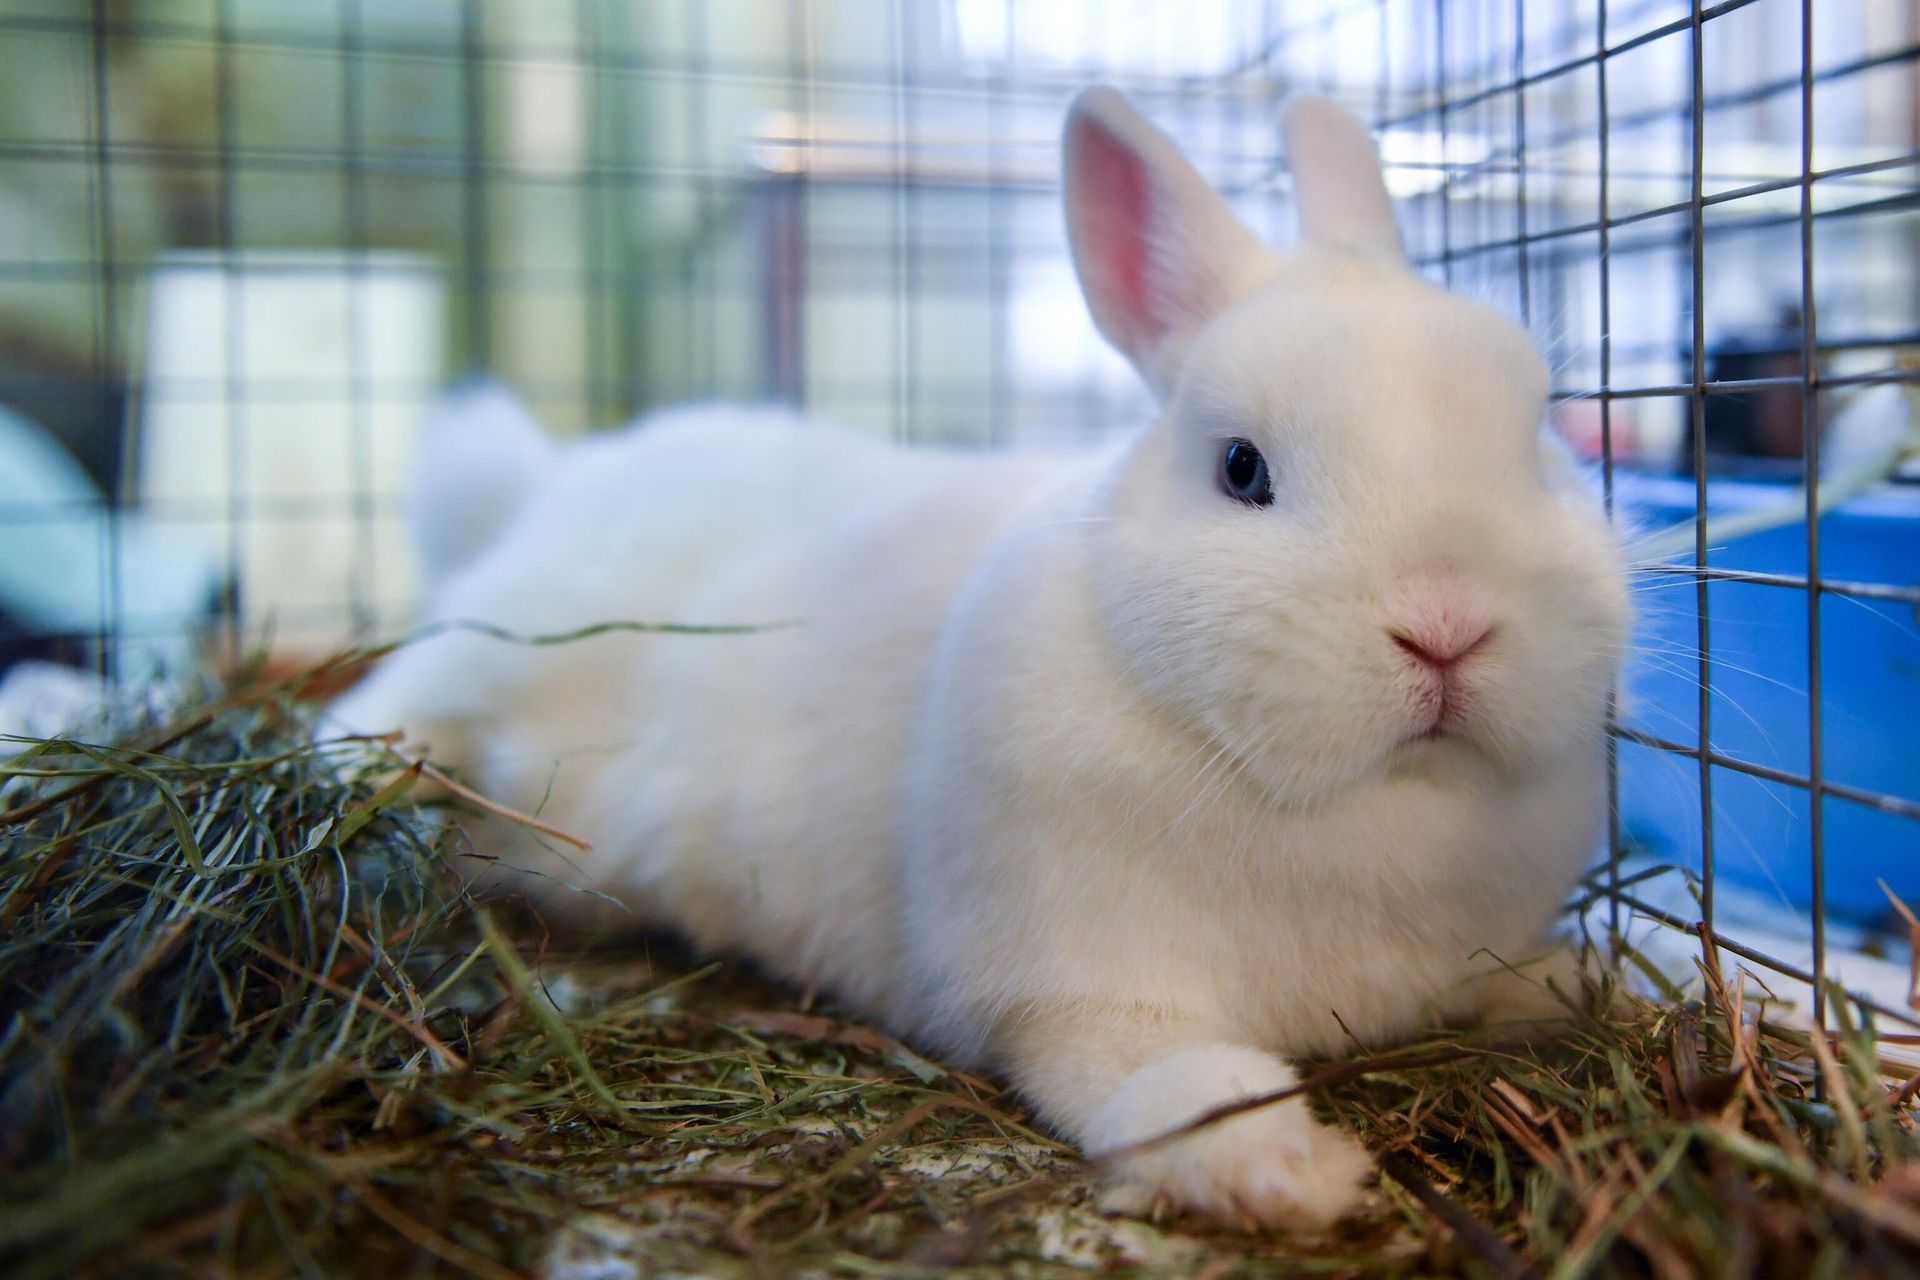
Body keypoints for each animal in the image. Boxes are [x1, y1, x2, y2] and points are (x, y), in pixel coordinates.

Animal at [325, 87, 1630, 1230]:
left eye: (1534, 440)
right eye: (1242, 469)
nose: (1449, 623)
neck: (1367, 802)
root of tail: (542, 488)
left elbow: (1499, 980)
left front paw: (1579, 982)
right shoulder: (1077, 996)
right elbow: (1173, 1084)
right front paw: (1282, 1171)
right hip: (484, 657)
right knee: (361, 716)